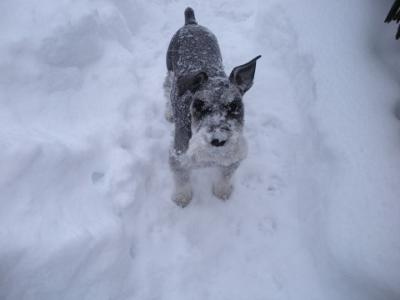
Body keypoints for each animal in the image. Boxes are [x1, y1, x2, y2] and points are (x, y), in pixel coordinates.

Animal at [164, 7, 260, 209]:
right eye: (199, 105)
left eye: (234, 105)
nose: (218, 140)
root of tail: (191, 23)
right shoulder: (178, 155)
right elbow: (182, 178)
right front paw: (182, 198)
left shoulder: (233, 159)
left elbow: (226, 175)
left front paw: (222, 192)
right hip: (170, 70)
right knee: (166, 88)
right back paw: (169, 113)